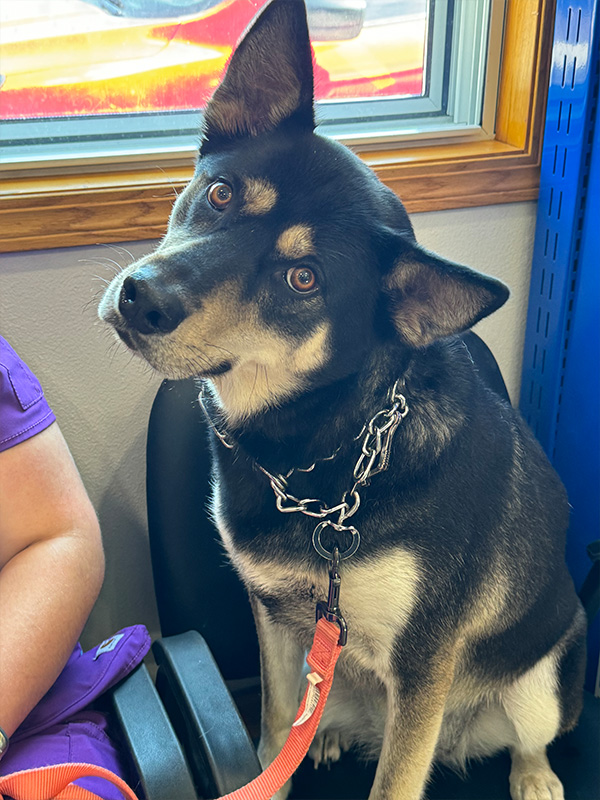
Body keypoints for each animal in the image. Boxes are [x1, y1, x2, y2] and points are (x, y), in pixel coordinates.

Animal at [99, 3, 584, 796]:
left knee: (530, 736)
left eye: (304, 279)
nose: (142, 299)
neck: (323, 448)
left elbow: (396, 778)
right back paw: (324, 736)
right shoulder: (274, 615)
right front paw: (277, 762)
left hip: (541, 679)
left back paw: (534, 774)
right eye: (222, 192)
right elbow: (273, 729)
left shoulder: (423, 663)